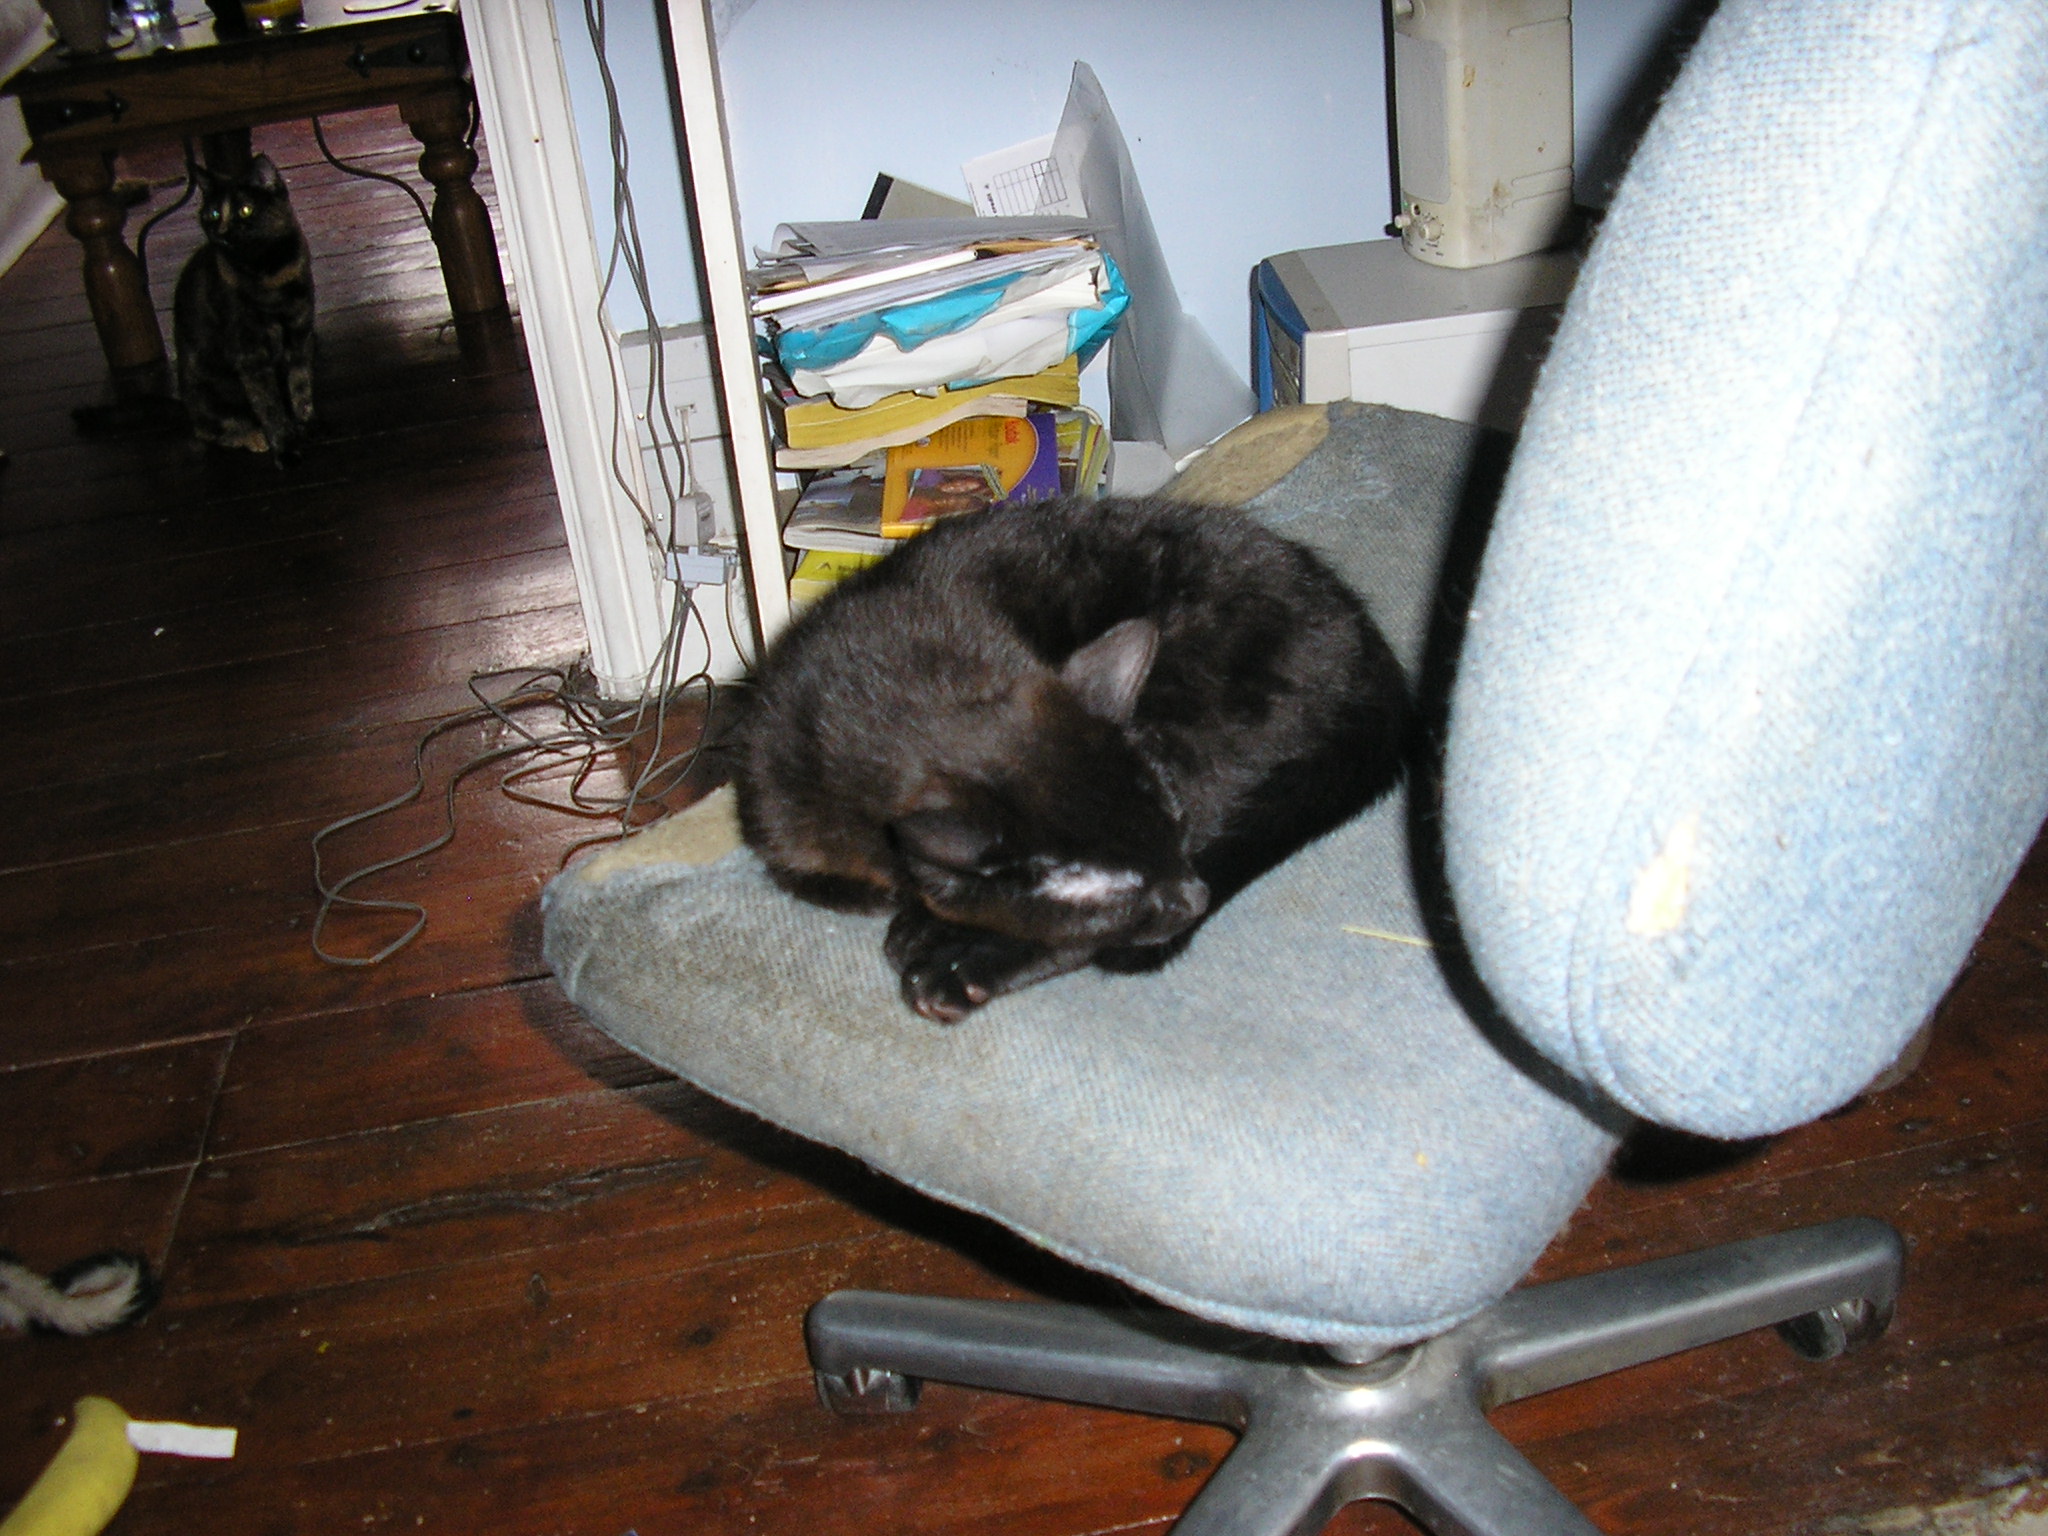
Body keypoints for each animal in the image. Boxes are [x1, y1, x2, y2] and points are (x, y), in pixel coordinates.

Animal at [172, 154, 316, 463]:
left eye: (246, 210)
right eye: (213, 214)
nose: (223, 232)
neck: (269, 272)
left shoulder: (300, 333)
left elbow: (300, 385)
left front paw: (305, 422)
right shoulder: (249, 353)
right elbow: (269, 406)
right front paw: (286, 448)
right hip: (208, 390)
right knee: (209, 429)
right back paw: (254, 436)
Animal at [735, 495, 1410, 1023]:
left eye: (1175, 826)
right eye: (1118, 889)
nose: (1193, 895)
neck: (891, 689)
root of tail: (1361, 638)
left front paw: (933, 929)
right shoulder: (772, 788)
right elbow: (797, 872)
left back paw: (952, 964)